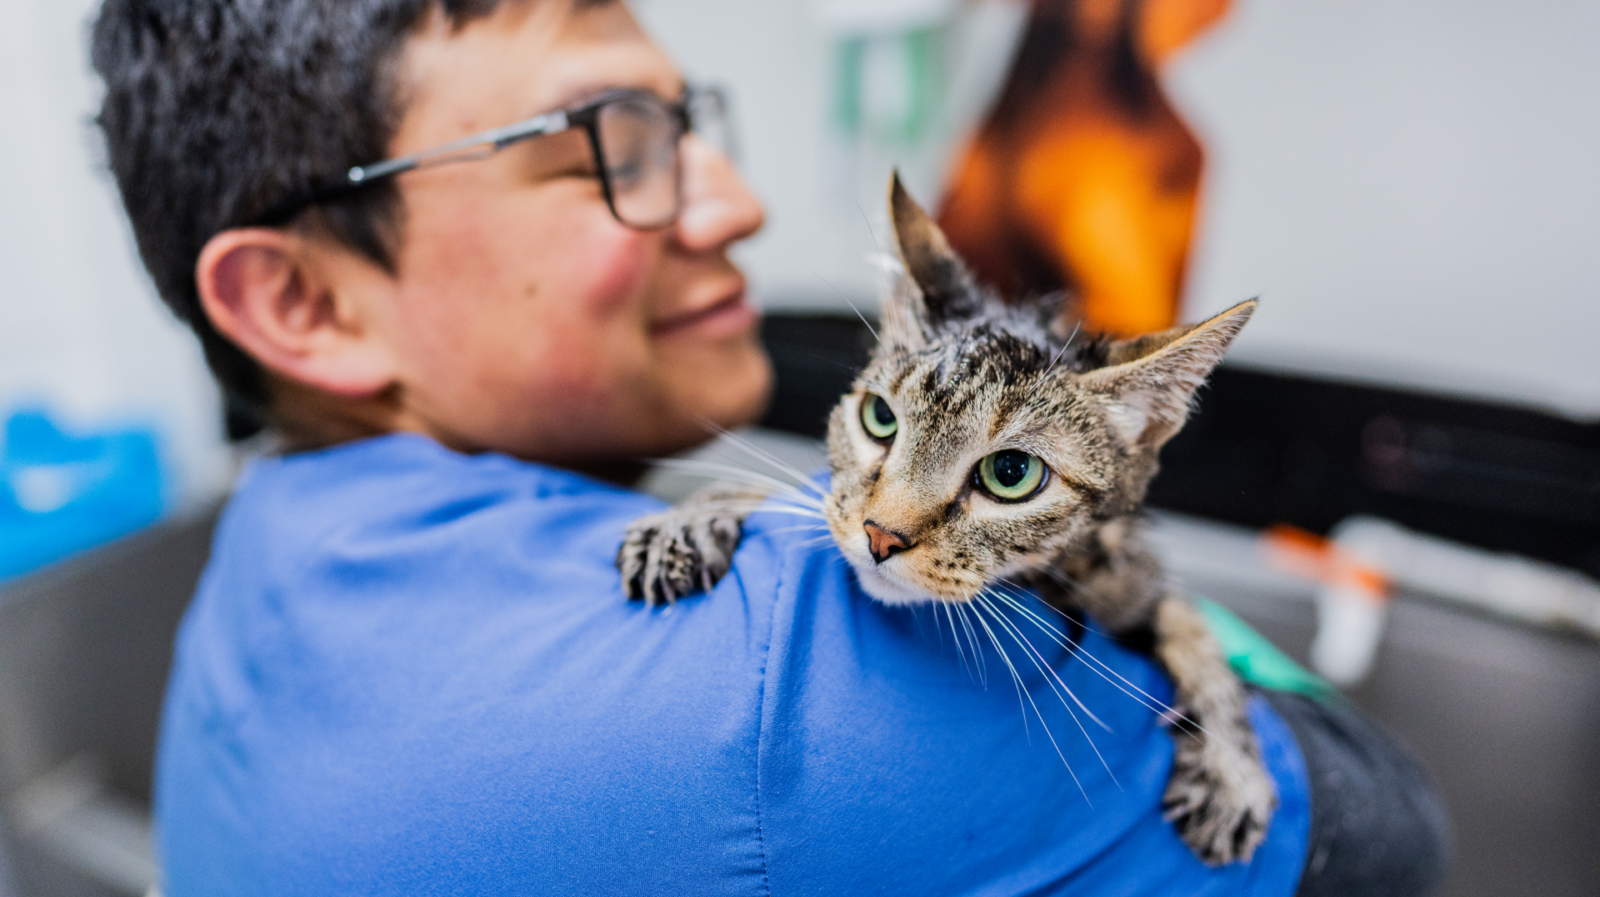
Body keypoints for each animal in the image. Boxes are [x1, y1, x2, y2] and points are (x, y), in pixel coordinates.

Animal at [614, 173, 1273, 863]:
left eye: (1011, 473)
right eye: (879, 418)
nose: (880, 536)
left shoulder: (1129, 574)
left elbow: (1189, 620)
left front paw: (1231, 767)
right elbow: (804, 494)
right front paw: (693, 518)